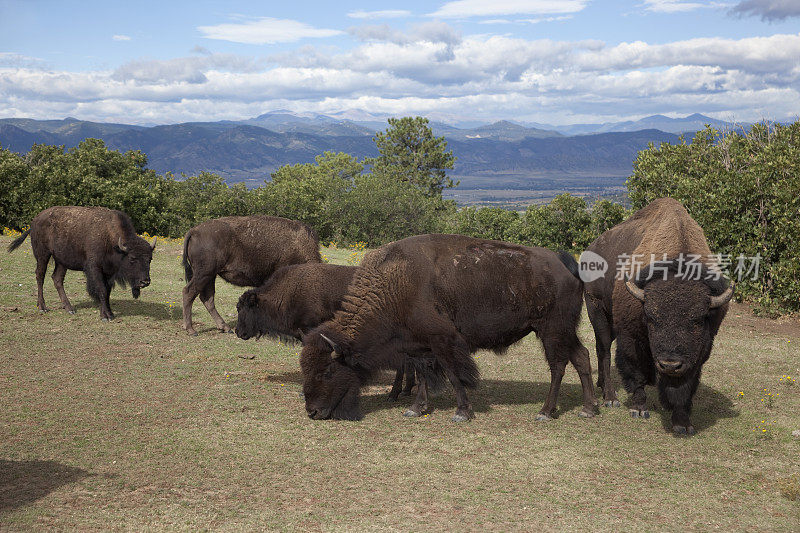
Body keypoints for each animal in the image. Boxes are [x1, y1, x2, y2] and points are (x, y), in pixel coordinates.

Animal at [7, 206, 156, 318]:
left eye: (150, 259)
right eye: (132, 258)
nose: (145, 281)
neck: (110, 238)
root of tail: (35, 221)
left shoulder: (108, 273)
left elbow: (107, 292)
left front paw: (110, 314)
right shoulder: (95, 268)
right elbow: (101, 290)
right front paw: (105, 316)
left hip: (62, 262)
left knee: (57, 279)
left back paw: (69, 308)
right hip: (43, 255)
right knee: (40, 276)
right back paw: (43, 307)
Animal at [234, 262, 416, 400]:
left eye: (243, 308)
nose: (238, 332)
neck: (289, 292)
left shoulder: (310, 330)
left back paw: (394, 393)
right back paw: (406, 390)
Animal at [298, 235, 592, 422]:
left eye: (327, 371)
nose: (312, 412)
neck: (395, 285)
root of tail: (564, 264)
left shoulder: (443, 342)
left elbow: (453, 374)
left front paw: (462, 413)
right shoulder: (418, 347)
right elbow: (424, 376)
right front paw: (415, 409)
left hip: (551, 331)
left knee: (558, 365)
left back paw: (545, 412)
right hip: (565, 331)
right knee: (581, 356)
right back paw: (589, 408)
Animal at [580, 197, 736, 434]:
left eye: (697, 321)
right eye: (652, 319)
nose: (670, 364)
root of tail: (591, 248)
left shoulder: (701, 348)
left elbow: (686, 383)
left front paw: (682, 423)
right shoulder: (631, 336)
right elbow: (635, 371)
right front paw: (638, 409)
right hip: (596, 309)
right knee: (603, 351)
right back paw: (610, 397)